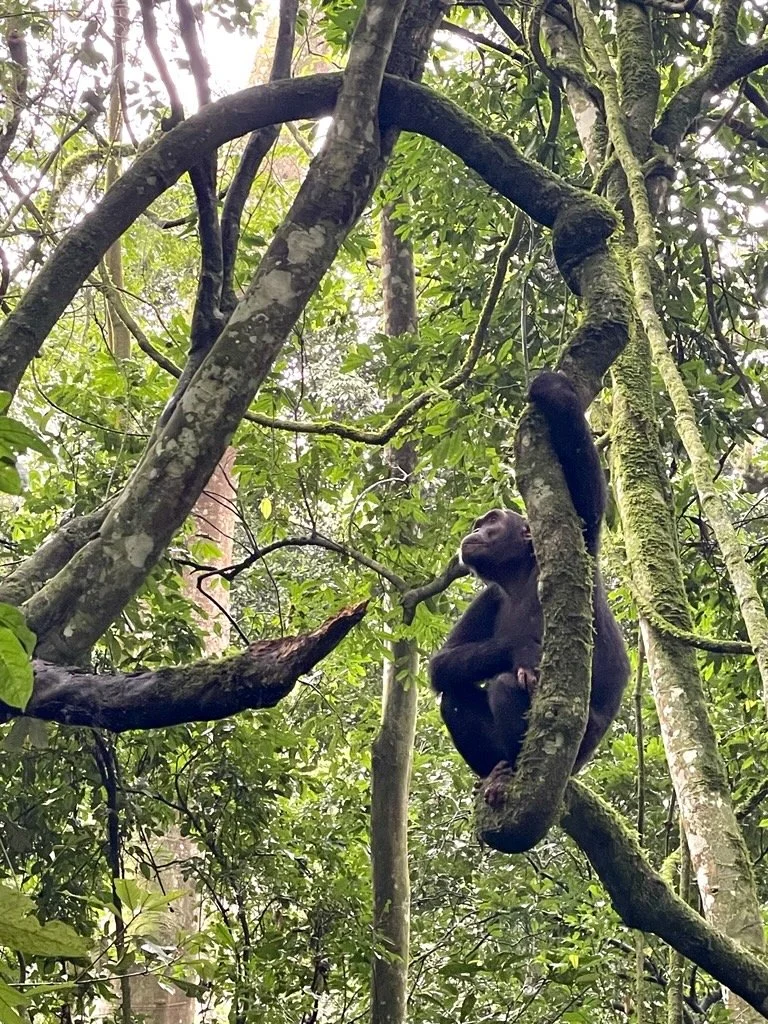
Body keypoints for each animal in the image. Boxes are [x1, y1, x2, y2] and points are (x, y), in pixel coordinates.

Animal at [429, 371, 629, 797]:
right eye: (480, 523)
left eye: (492, 521)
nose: (475, 530)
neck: (520, 574)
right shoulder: (487, 598)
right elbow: (442, 662)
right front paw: (521, 647)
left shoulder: (578, 543)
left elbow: (588, 491)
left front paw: (552, 390)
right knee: (455, 692)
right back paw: (496, 772)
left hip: (576, 751)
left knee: (507, 686)